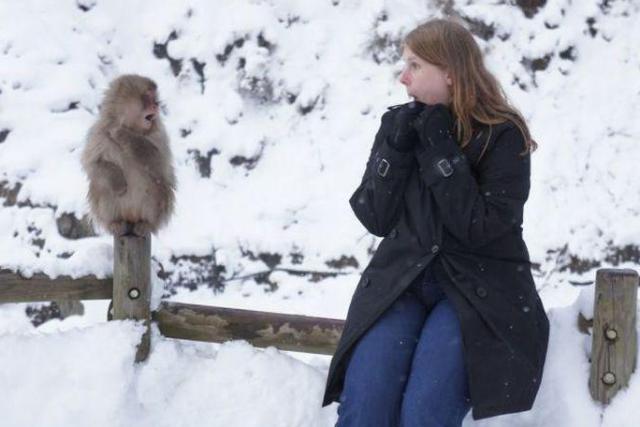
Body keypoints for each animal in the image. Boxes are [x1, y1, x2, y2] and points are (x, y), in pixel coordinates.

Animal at [83, 74, 178, 237]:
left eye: (155, 98)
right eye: (148, 97)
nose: (156, 105)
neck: (132, 127)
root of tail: (131, 217)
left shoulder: (159, 135)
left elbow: (160, 166)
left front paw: (124, 135)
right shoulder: (99, 133)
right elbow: (93, 164)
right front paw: (119, 183)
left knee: (159, 186)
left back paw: (146, 225)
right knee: (100, 185)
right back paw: (115, 223)